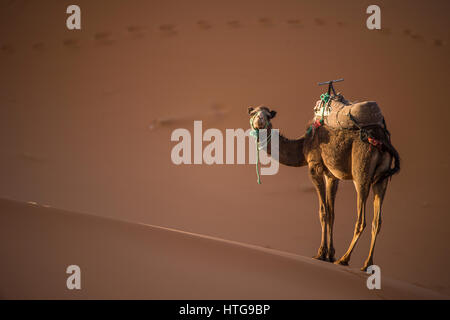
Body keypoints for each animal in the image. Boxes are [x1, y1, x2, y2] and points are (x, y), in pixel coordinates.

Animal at [248, 105, 400, 270]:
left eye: (268, 115)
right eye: (253, 113)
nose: (259, 120)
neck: (303, 145)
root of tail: (383, 141)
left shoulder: (315, 167)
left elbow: (323, 212)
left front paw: (321, 254)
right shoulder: (331, 175)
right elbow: (332, 212)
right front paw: (330, 254)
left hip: (361, 172)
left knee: (361, 220)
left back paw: (344, 259)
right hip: (382, 179)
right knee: (377, 221)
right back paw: (367, 265)